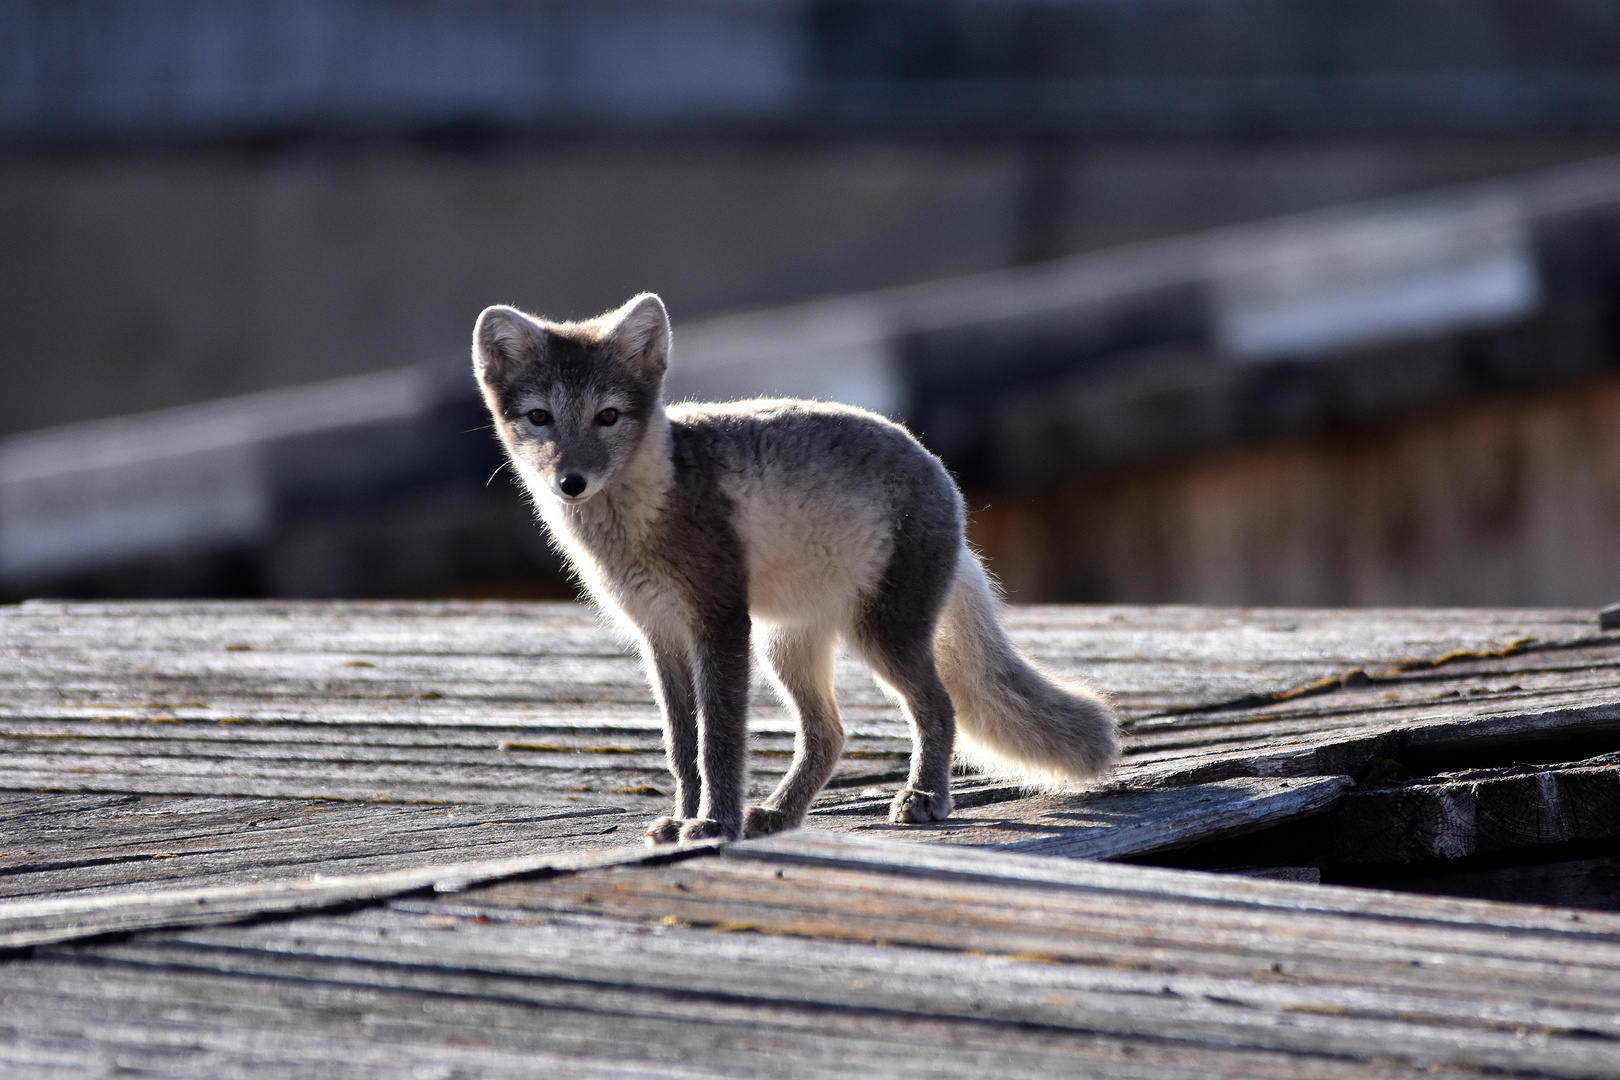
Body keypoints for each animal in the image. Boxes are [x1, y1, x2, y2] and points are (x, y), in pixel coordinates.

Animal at [473, 296, 1121, 841]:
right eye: (539, 417)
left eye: (607, 416)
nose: (571, 482)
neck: (643, 516)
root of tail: (939, 470)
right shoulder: (659, 634)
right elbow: (682, 747)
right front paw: (683, 819)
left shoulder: (718, 619)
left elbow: (719, 740)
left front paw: (714, 824)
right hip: (787, 648)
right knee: (829, 735)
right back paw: (780, 813)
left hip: (880, 637)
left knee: (938, 707)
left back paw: (923, 798)